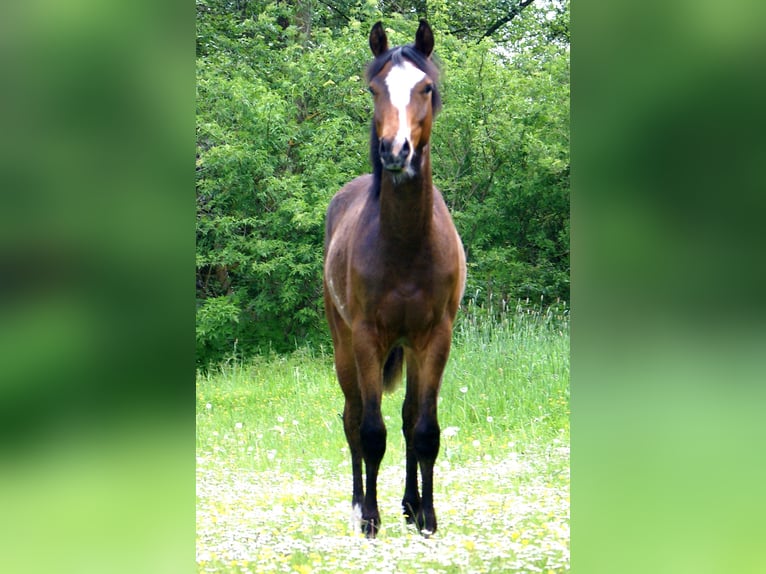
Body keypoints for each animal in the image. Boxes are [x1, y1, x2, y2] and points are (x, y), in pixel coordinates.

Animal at [323, 20, 466, 539]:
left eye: (425, 88)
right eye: (374, 89)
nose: (394, 151)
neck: (405, 244)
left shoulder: (435, 338)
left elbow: (422, 429)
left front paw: (426, 517)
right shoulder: (368, 338)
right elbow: (371, 432)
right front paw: (370, 517)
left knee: (405, 420)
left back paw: (407, 502)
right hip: (344, 345)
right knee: (352, 419)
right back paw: (357, 506)